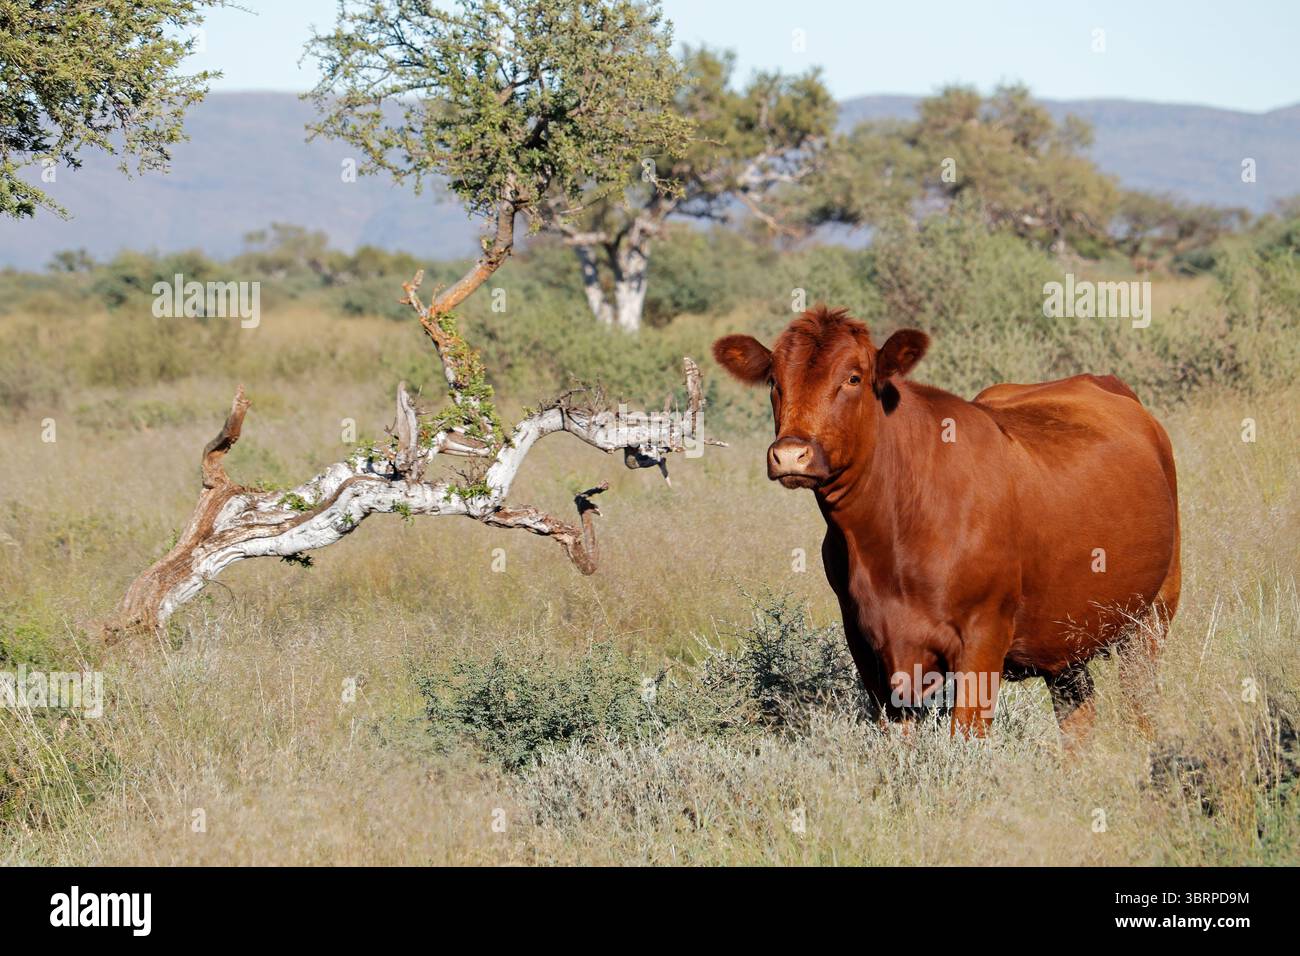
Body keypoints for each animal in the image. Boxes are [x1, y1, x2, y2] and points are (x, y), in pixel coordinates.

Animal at [713, 306, 1181, 743]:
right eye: (774, 381)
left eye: (853, 377)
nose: (791, 454)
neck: (885, 539)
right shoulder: (868, 648)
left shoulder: (983, 639)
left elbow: (966, 736)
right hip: (1067, 637)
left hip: (1152, 614)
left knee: (1143, 706)